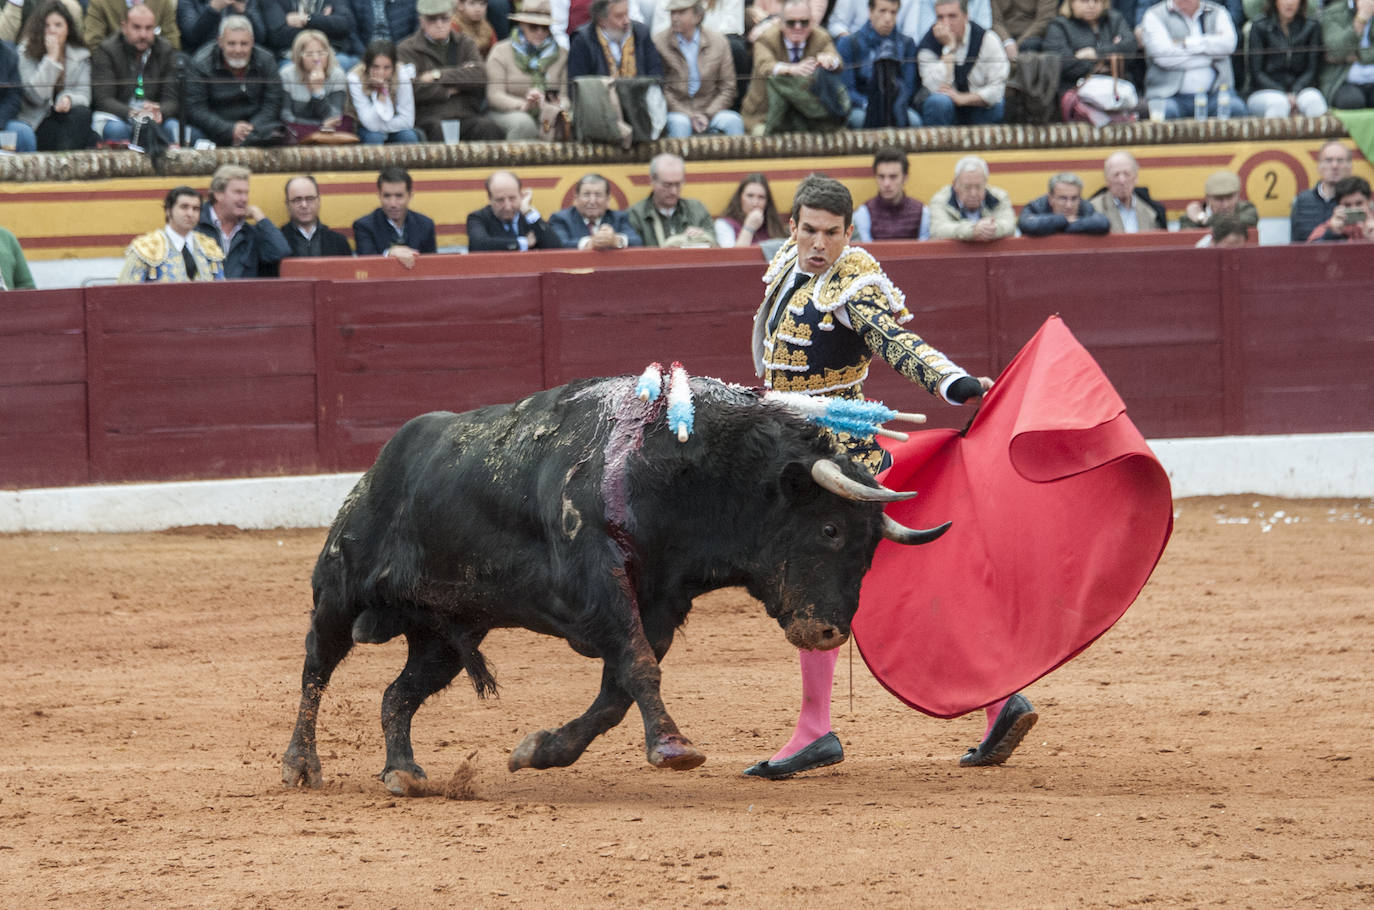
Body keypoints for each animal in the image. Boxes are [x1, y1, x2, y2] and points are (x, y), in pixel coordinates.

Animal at [278, 373, 945, 797]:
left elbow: (618, 690)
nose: (829, 632)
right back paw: (300, 765)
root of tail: (380, 463)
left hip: (443, 633)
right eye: (830, 529)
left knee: (398, 693)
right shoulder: (598, 585)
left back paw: (404, 772)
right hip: (340, 590)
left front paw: (539, 750)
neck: (684, 470)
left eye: (871, 549)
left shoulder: (659, 604)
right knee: (316, 665)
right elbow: (638, 667)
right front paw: (674, 748)